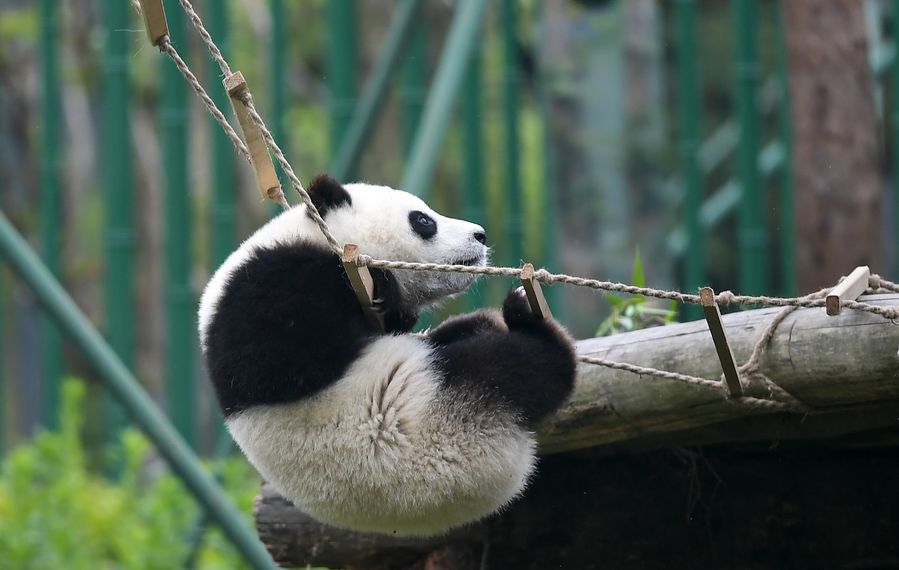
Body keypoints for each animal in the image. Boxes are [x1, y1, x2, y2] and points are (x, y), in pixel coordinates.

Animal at [198, 174, 576, 536]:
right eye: (423, 220)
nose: (480, 235)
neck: (309, 237)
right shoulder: (262, 289)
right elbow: (282, 359)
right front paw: (383, 283)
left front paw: (388, 298)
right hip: (445, 415)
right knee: (519, 367)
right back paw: (528, 320)